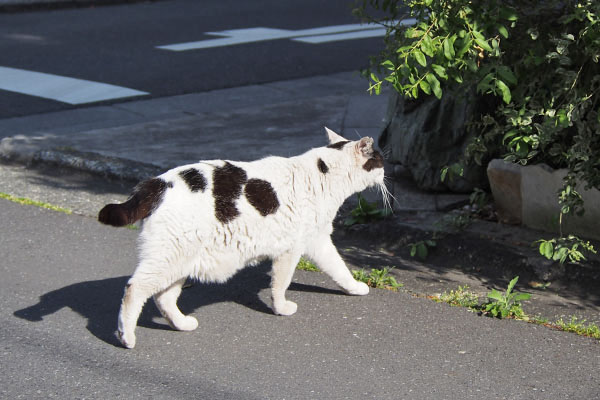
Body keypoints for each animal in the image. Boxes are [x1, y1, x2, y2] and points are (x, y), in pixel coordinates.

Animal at [97, 127, 390, 346]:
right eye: (380, 160)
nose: (387, 173)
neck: (325, 173)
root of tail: (155, 183)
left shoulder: (318, 241)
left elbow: (339, 268)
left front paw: (354, 288)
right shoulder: (292, 250)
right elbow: (281, 284)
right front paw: (281, 308)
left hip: (179, 260)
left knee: (164, 297)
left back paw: (182, 324)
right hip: (168, 258)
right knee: (134, 289)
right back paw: (126, 336)